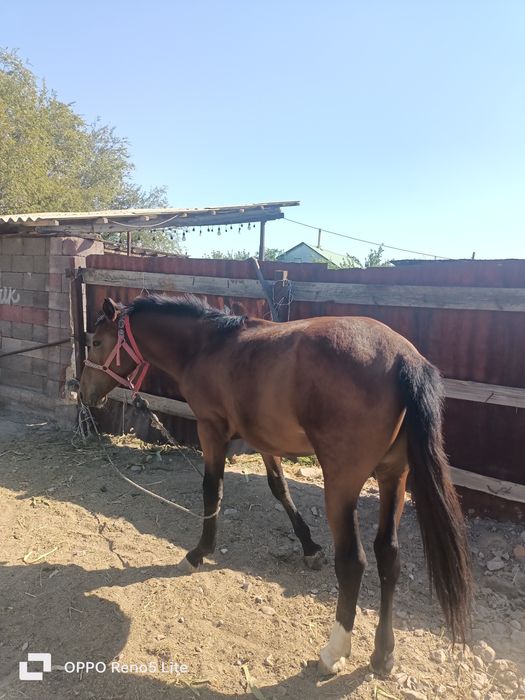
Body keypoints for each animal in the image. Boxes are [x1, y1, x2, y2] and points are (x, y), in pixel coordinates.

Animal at [79, 294, 472, 677]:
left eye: (96, 342)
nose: (82, 392)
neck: (209, 345)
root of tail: (403, 358)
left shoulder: (210, 430)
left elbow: (212, 490)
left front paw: (199, 552)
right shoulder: (265, 442)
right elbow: (279, 488)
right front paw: (309, 547)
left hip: (342, 483)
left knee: (353, 562)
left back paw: (334, 652)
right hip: (394, 478)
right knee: (388, 556)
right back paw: (383, 654)